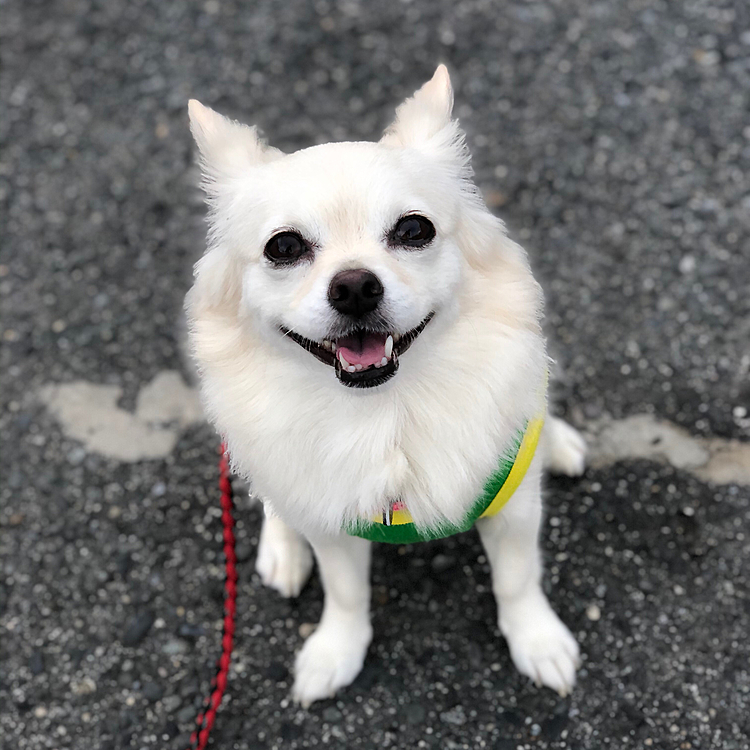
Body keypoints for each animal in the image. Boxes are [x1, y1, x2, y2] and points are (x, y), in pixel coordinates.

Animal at [185, 66, 592, 712]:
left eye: (413, 230)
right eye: (283, 247)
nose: (354, 286)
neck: (387, 410)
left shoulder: (513, 504)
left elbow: (517, 578)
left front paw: (538, 641)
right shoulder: (331, 519)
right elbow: (346, 593)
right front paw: (335, 653)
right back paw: (282, 548)